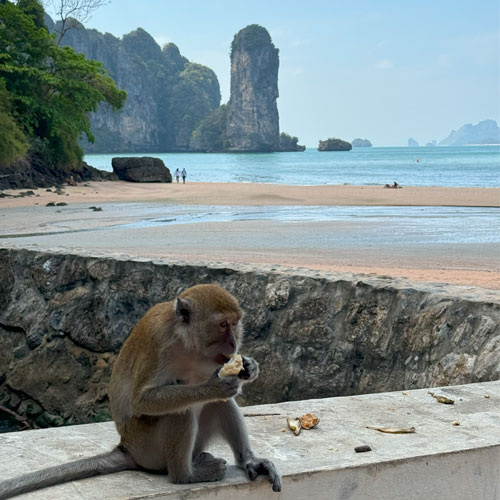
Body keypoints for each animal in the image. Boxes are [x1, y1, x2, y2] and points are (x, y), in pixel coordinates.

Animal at [0, 284, 282, 498]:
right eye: (223, 324)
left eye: (235, 323)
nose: (234, 343)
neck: (188, 344)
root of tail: (127, 449)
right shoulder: (159, 342)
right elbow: (143, 401)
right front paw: (213, 385)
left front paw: (250, 367)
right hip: (148, 448)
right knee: (179, 411)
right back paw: (186, 475)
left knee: (219, 404)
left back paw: (248, 461)